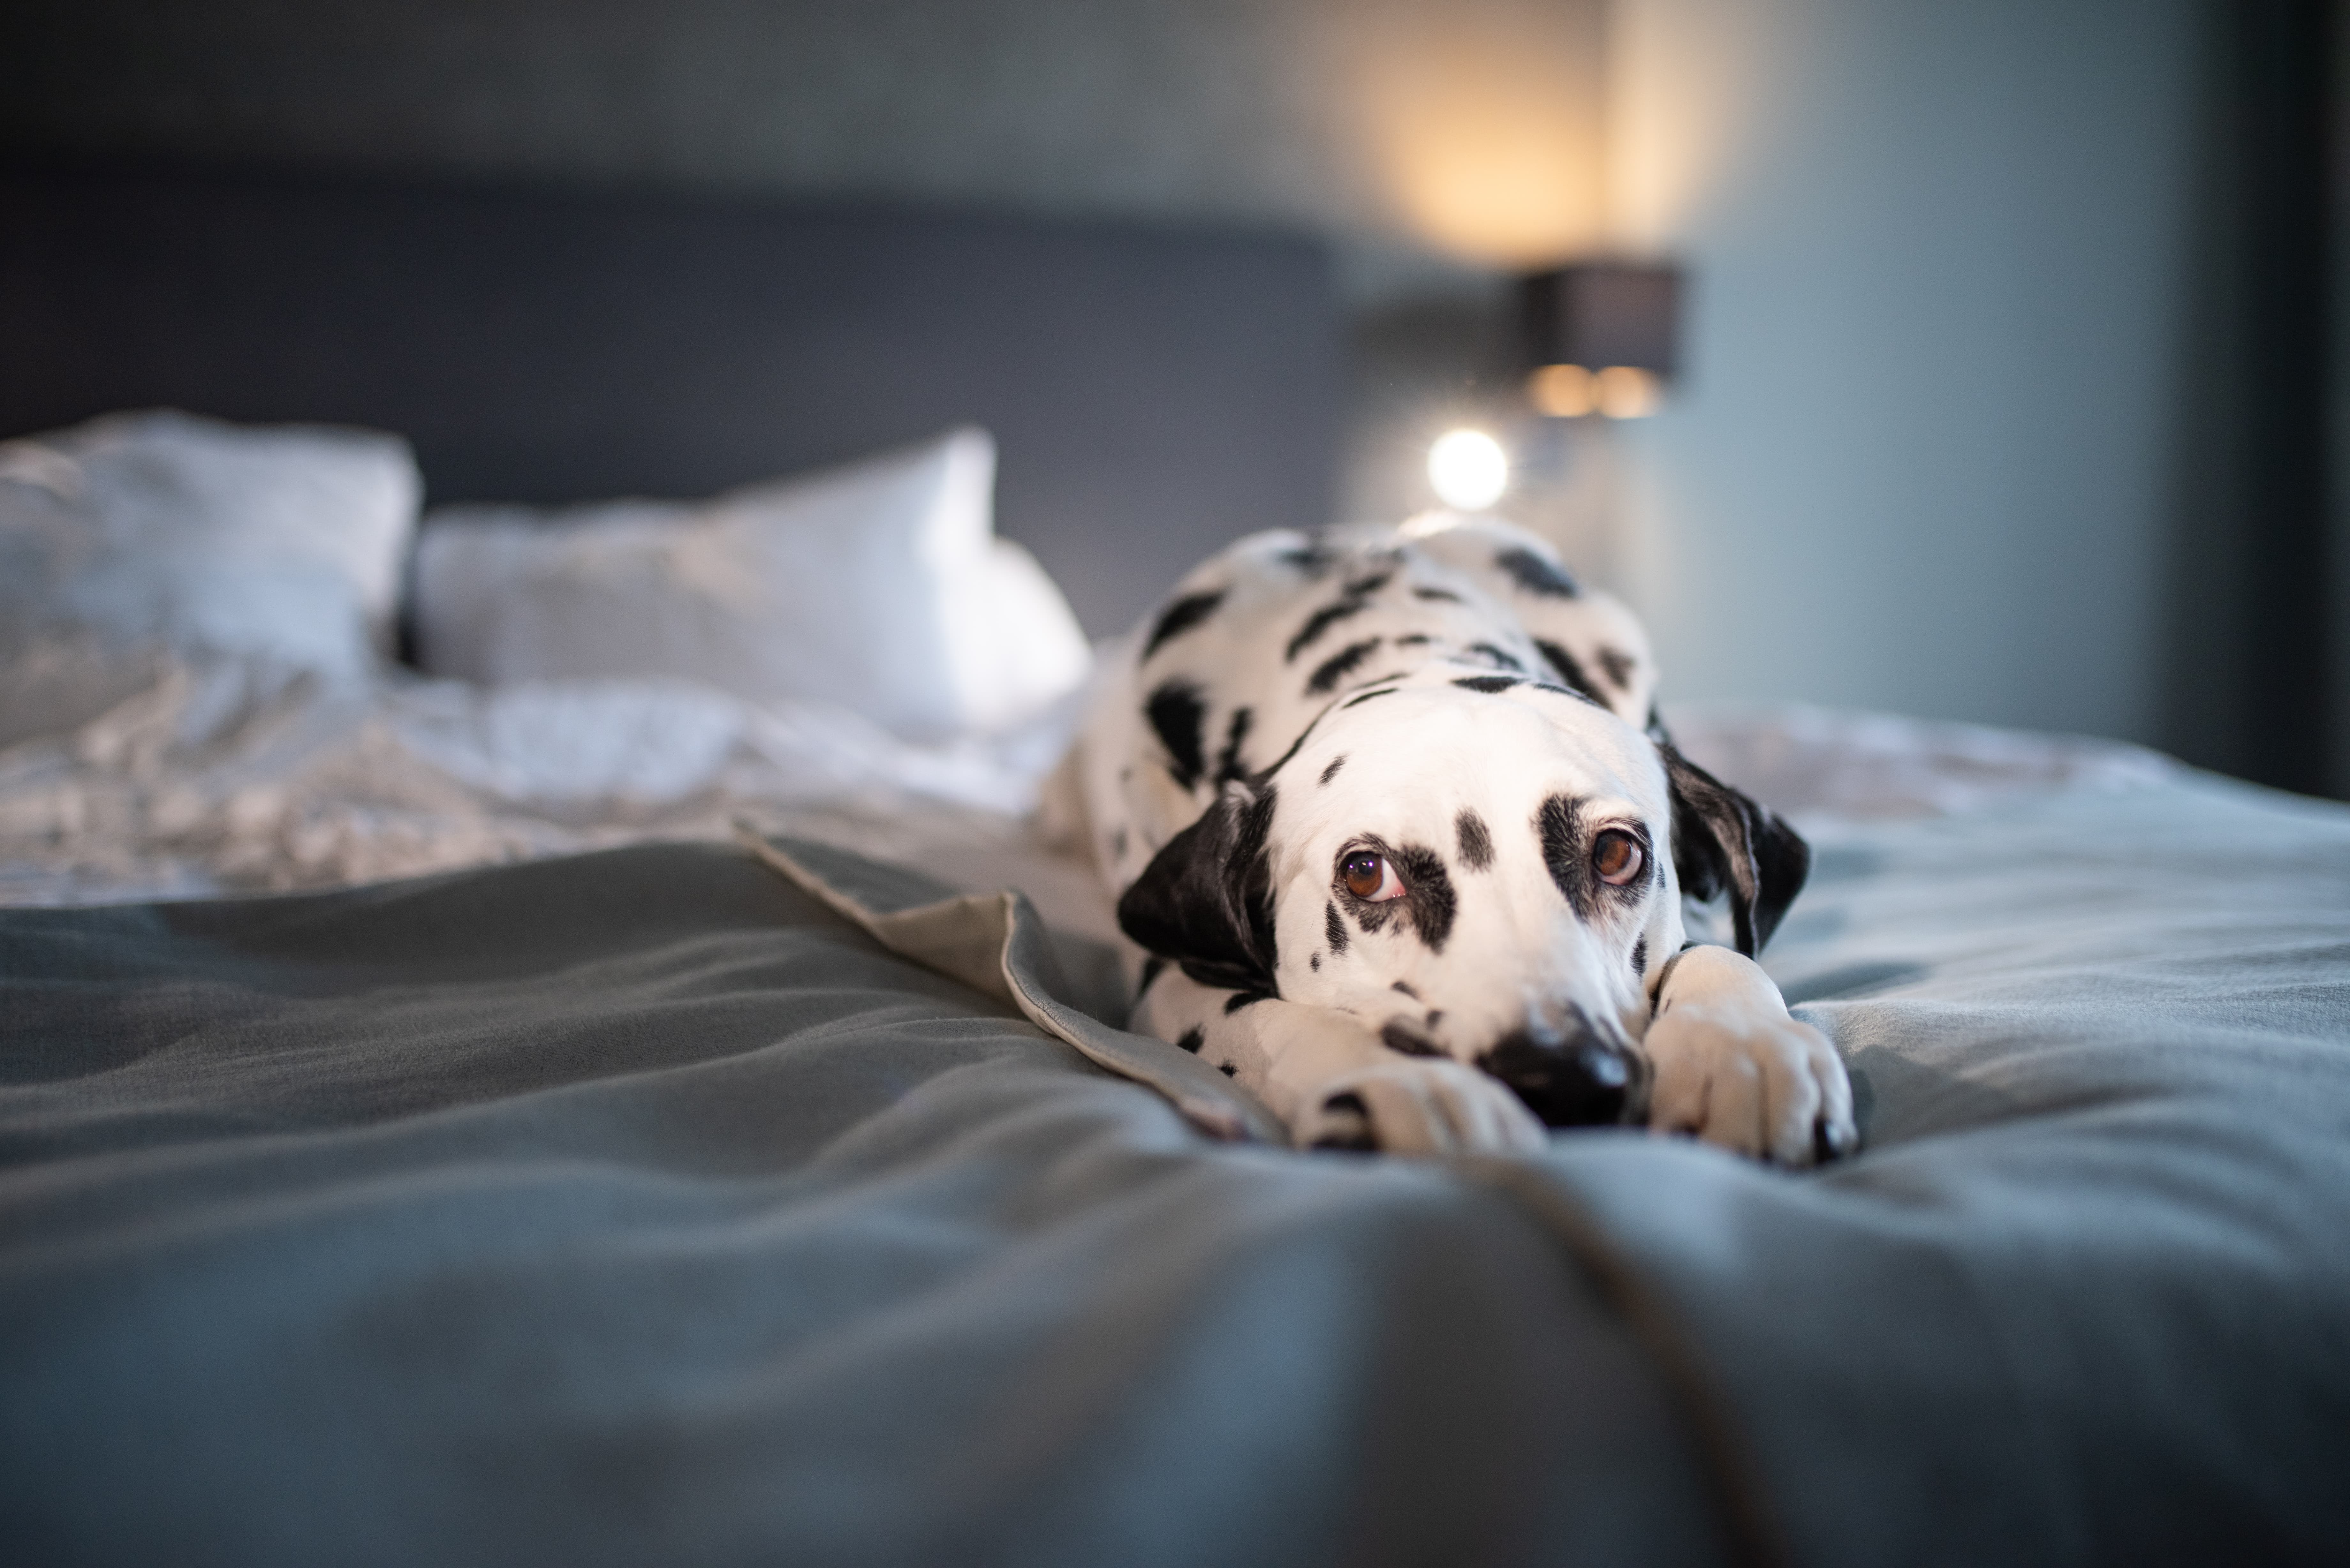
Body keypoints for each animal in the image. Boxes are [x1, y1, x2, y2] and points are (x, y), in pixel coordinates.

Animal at [1062, 517, 1852, 1166]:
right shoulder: (1166, 978)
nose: (1563, 1078)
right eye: (1366, 872)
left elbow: (1720, 953)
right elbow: (1265, 1015)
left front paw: (1743, 1050)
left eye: (1616, 853)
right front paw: (1406, 1081)